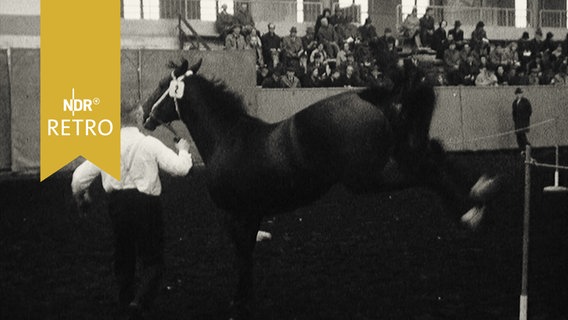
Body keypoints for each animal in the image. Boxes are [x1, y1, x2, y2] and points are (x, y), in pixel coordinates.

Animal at [142, 58, 496, 318]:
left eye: (161, 86)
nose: (144, 114)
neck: (227, 138)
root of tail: (374, 99)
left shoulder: (236, 214)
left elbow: (242, 255)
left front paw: (240, 301)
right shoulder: (252, 214)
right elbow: (248, 254)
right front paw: (247, 298)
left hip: (368, 177)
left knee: (427, 168)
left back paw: (471, 212)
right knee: (433, 154)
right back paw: (479, 193)